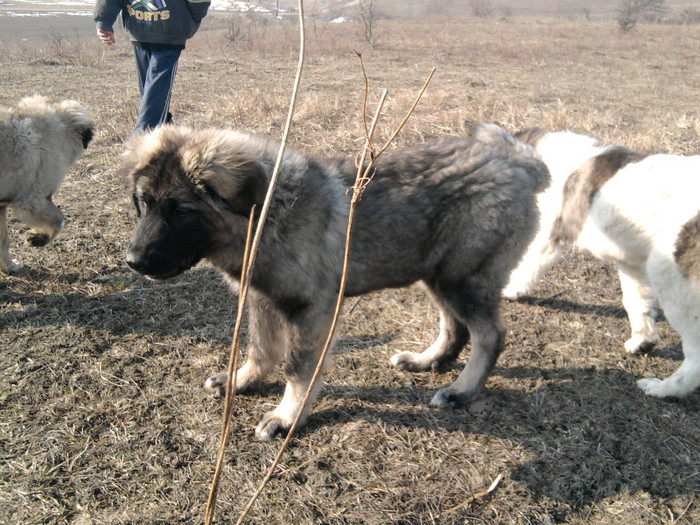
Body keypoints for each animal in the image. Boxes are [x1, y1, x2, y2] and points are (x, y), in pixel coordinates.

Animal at [0, 95, 93, 272]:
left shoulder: (1, 205)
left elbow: (3, 240)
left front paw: (9, 266)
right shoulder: (34, 200)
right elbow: (59, 220)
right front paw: (39, 237)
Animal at [120, 123, 548, 438]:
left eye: (180, 211)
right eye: (144, 203)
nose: (133, 262)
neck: (268, 214)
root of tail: (518, 163)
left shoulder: (311, 309)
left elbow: (297, 368)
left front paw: (287, 417)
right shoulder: (261, 297)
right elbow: (260, 348)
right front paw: (243, 381)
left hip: (462, 278)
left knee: (489, 334)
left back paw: (462, 390)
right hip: (434, 271)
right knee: (455, 327)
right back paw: (428, 361)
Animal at [504, 129, 700, 400]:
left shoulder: (549, 236)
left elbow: (528, 265)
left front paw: (510, 290)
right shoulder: (630, 262)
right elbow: (635, 302)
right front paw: (643, 341)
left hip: (670, 278)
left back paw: (664, 388)